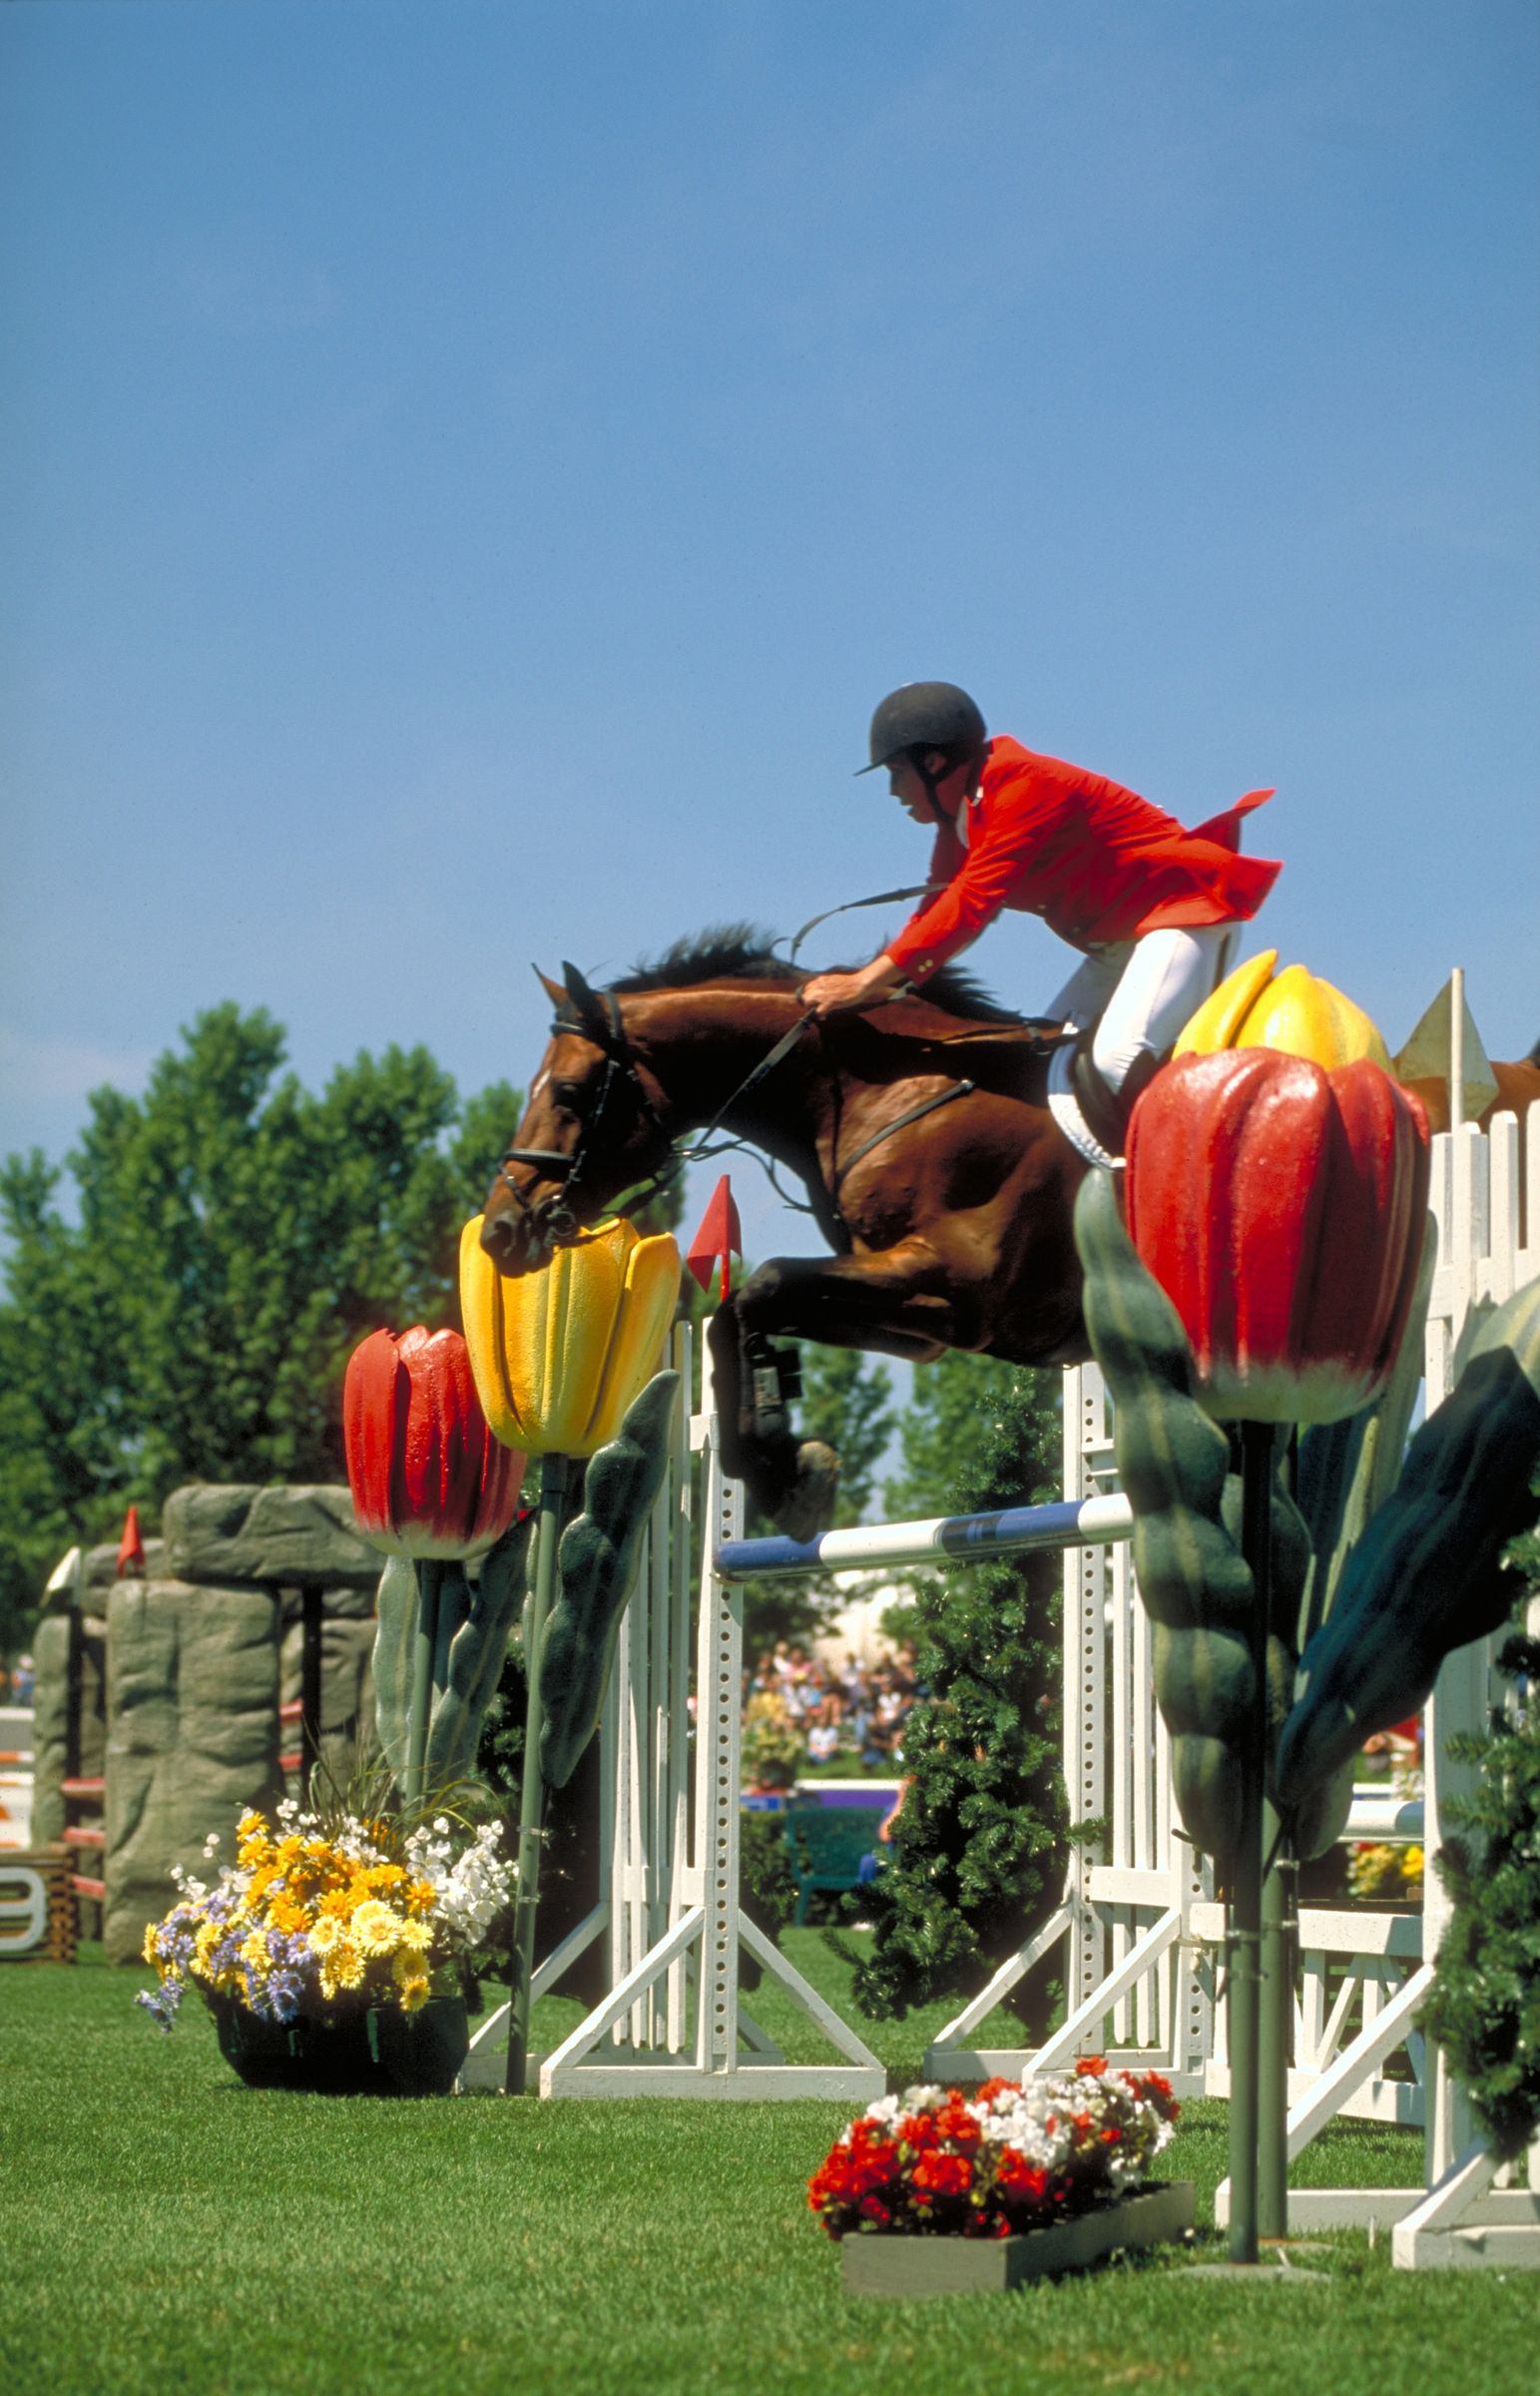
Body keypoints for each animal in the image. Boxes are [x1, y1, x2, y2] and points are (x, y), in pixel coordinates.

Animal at [478, 928, 1089, 1535]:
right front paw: (778, 1468)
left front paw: (778, 1455)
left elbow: (765, 1283)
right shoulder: (922, 1322)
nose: (499, 1232)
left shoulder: (958, 1285)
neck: (888, 1089)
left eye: (568, 1091)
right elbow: (735, 1311)